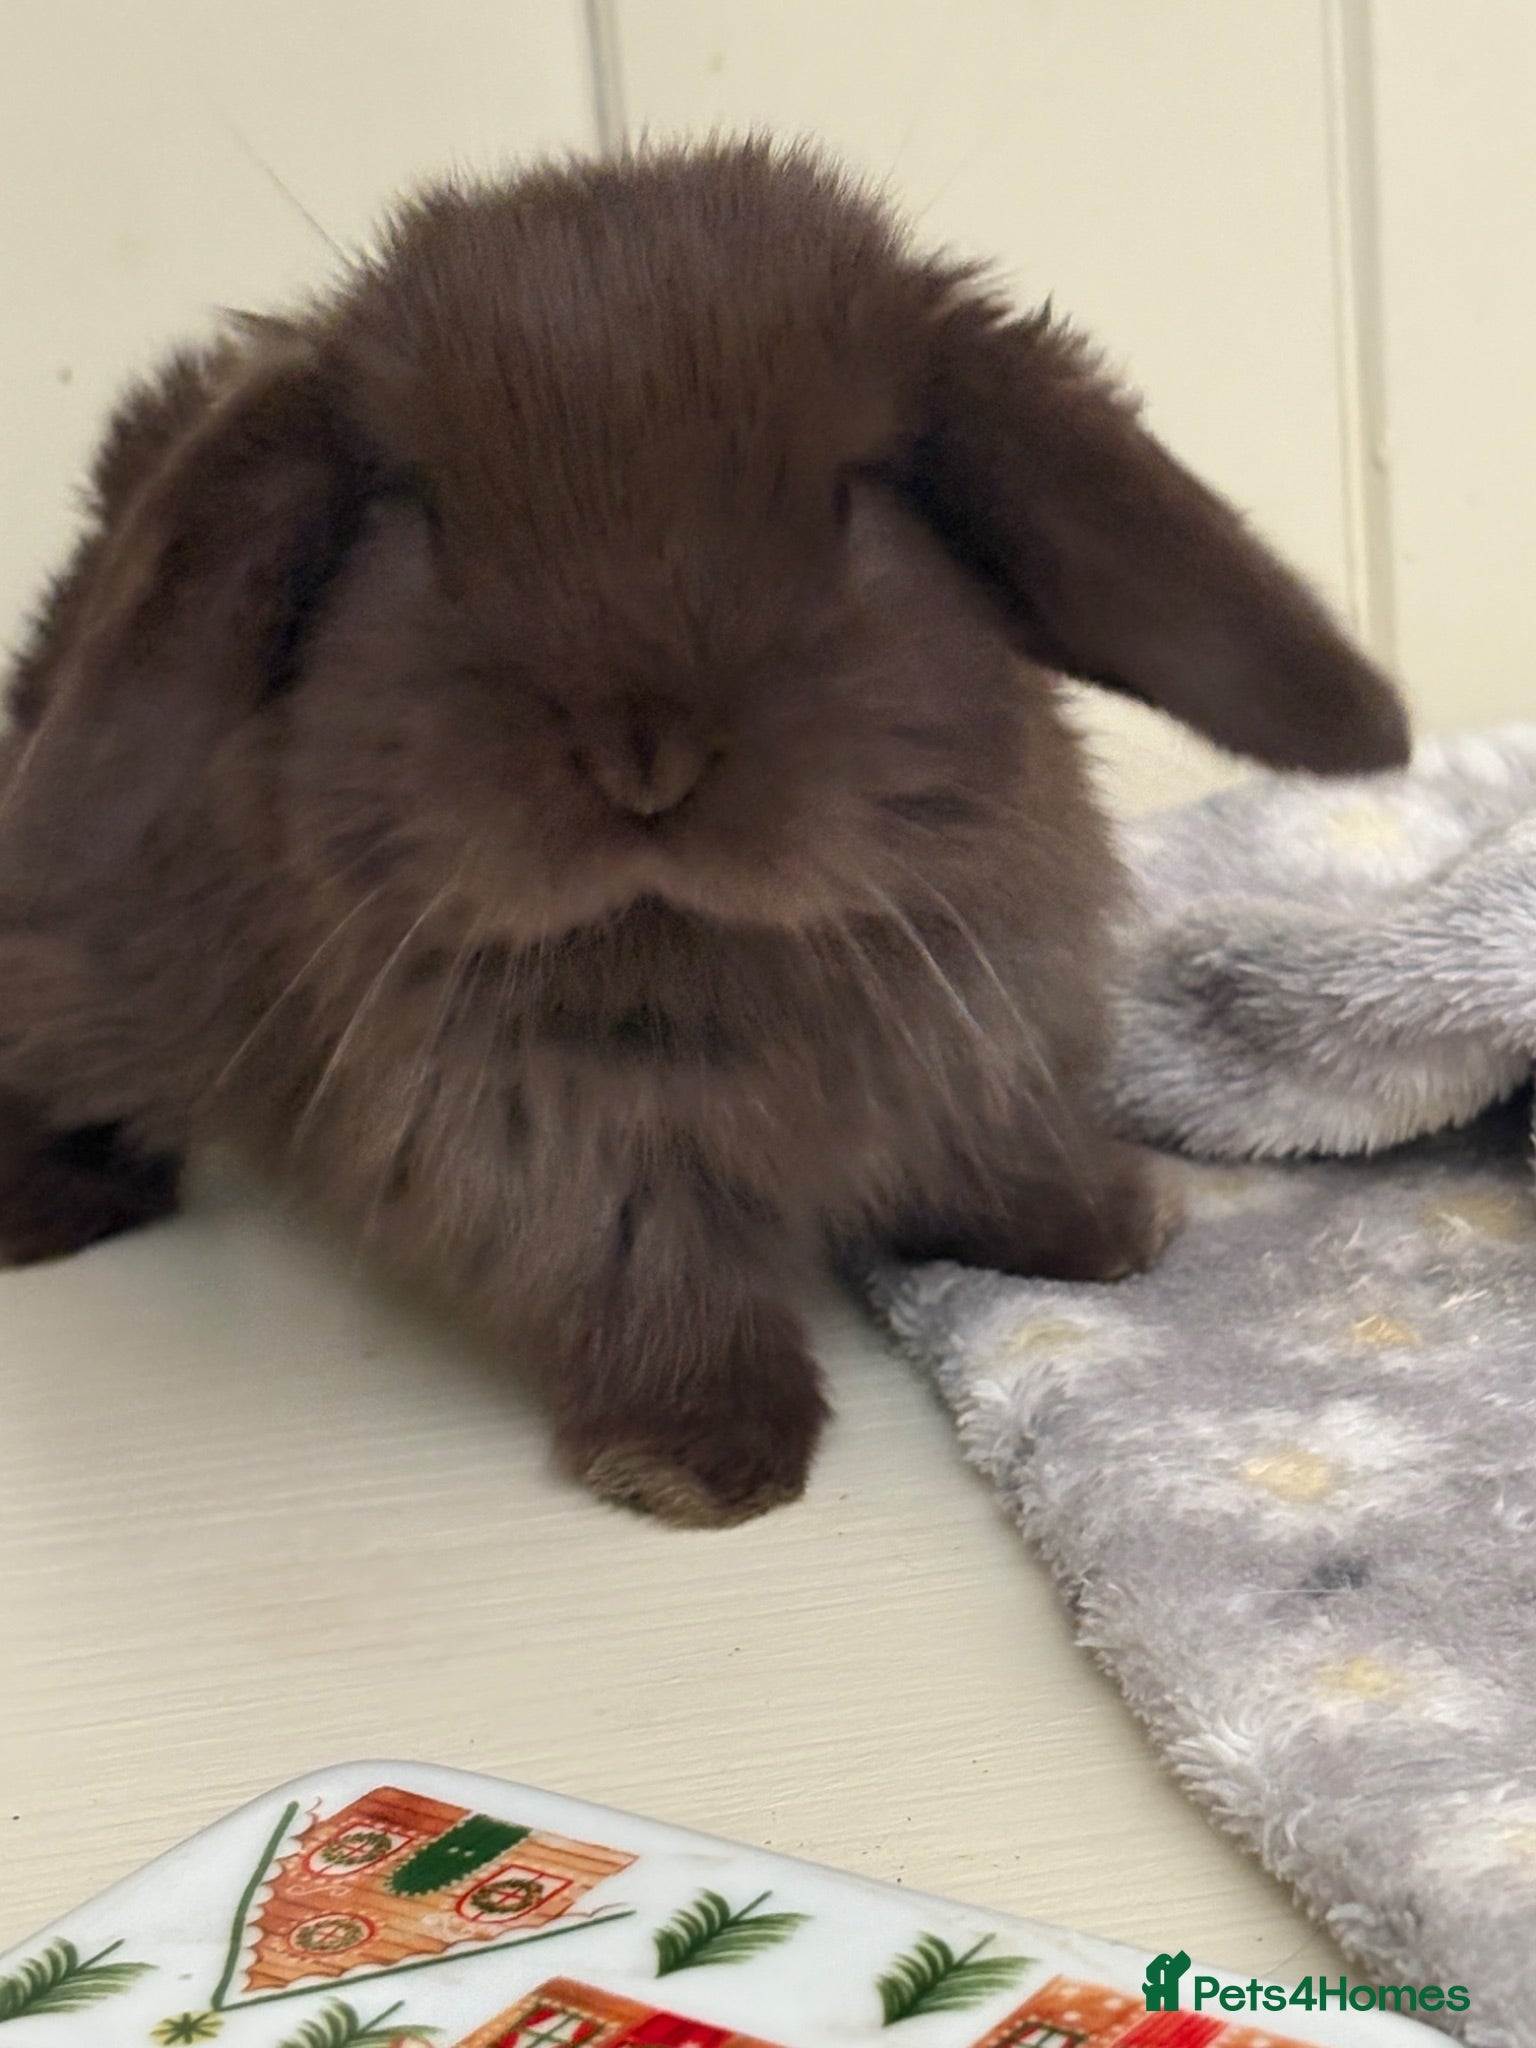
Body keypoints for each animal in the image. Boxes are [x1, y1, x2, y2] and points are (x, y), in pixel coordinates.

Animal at [0, 141, 1409, 1525]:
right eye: (415, 515)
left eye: (854, 497)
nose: (644, 751)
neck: (714, 945)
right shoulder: (548, 1142)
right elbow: (649, 1274)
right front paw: (700, 1461)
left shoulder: (984, 1030)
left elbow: (990, 1151)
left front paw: (1109, 1227)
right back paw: (52, 1207)